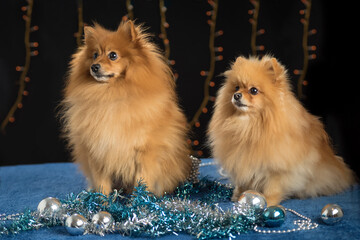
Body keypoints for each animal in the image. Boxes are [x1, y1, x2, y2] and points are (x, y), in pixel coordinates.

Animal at [60, 20, 191, 196]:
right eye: (95, 55)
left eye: (113, 55)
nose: (94, 66)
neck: (111, 97)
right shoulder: (98, 152)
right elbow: (102, 184)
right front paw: (102, 200)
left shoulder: (144, 153)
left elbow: (142, 181)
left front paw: (139, 200)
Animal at [207, 55, 356, 205]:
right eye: (236, 87)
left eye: (253, 90)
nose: (237, 95)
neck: (249, 125)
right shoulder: (241, 161)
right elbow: (242, 181)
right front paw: (238, 195)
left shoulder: (277, 167)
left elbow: (273, 186)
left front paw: (268, 201)